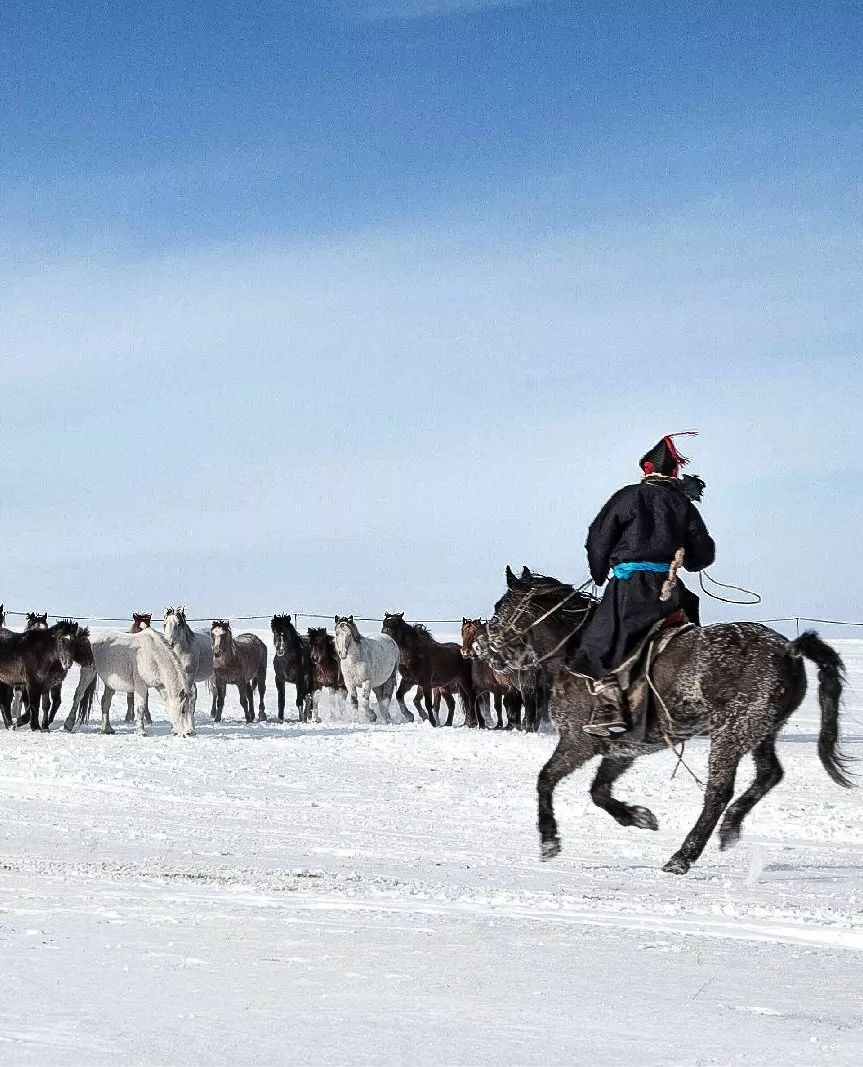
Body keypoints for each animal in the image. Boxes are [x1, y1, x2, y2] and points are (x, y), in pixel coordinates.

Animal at [482, 567, 853, 874]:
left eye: (501, 606)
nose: (484, 650)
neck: (573, 652)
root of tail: (790, 649)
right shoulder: (623, 747)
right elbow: (598, 791)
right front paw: (639, 817)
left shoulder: (578, 741)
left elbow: (546, 779)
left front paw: (549, 841)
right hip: (761, 731)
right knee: (769, 774)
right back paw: (730, 827)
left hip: (733, 731)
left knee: (719, 791)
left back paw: (683, 856)